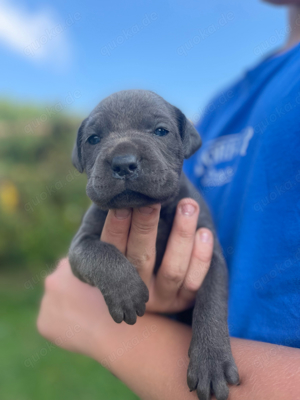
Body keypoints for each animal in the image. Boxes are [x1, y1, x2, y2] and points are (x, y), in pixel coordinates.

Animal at [69, 90, 240, 400]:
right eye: (94, 139)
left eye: (161, 131)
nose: (123, 162)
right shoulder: (80, 245)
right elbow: (100, 254)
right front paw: (126, 291)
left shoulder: (209, 252)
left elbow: (211, 303)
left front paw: (211, 361)